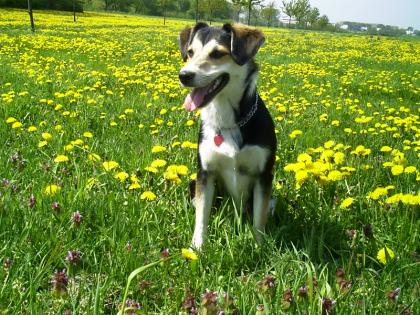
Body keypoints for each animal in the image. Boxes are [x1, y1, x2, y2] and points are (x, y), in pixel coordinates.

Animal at [179, 22, 278, 251]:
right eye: (190, 52)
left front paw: (259, 247)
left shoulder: (264, 175)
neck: (228, 121)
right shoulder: (205, 173)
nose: (184, 75)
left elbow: (259, 218)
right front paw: (197, 248)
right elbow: (201, 216)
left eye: (217, 53)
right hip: (192, 182)